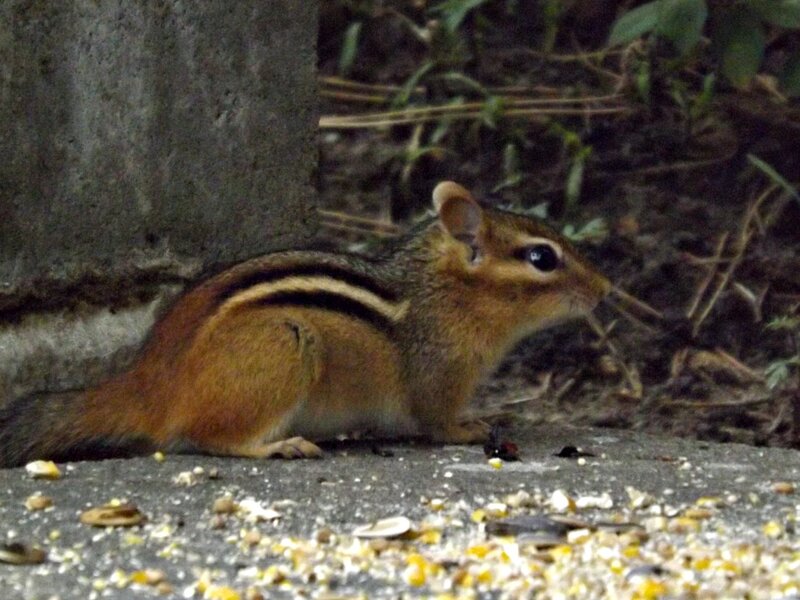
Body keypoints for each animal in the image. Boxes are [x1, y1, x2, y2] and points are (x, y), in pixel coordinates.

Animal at [0, 181, 610, 466]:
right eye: (542, 259)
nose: (604, 290)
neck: (446, 294)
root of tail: (148, 383)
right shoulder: (439, 374)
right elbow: (436, 421)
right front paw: (473, 427)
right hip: (285, 346)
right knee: (208, 437)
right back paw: (279, 447)